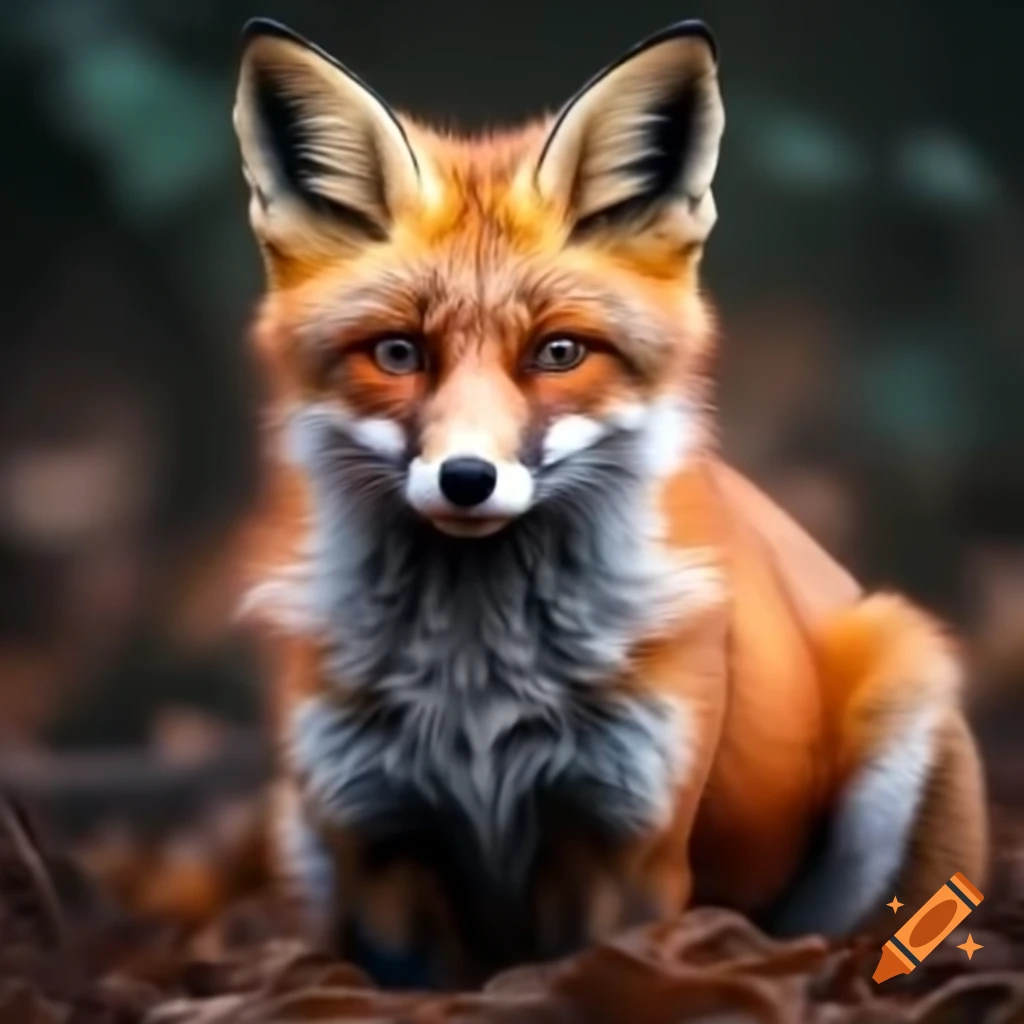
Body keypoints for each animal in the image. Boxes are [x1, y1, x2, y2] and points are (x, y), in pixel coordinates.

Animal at [231, 17, 988, 989]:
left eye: (559, 353)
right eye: (398, 354)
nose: (467, 478)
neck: (477, 688)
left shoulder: (628, 841)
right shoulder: (376, 845)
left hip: (898, 691)